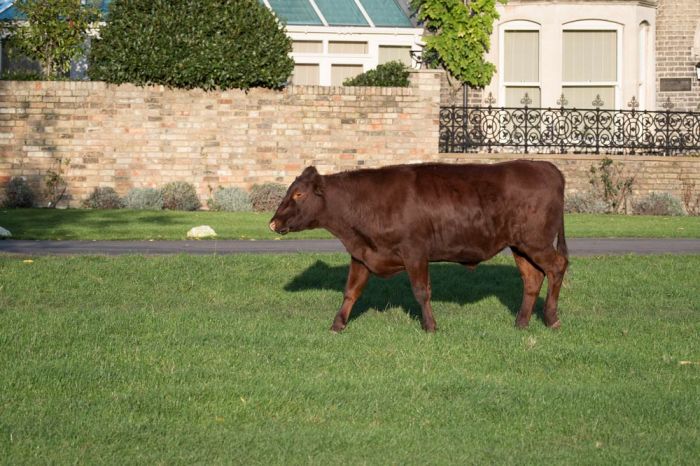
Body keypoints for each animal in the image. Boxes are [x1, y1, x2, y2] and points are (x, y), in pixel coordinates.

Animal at [269, 160, 568, 333]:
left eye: (299, 193)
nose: (272, 223)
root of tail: (547, 167)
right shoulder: (362, 254)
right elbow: (350, 292)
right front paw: (337, 325)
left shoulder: (415, 253)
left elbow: (421, 291)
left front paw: (430, 326)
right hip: (520, 246)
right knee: (532, 279)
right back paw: (521, 323)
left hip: (536, 242)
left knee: (557, 266)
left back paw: (551, 318)